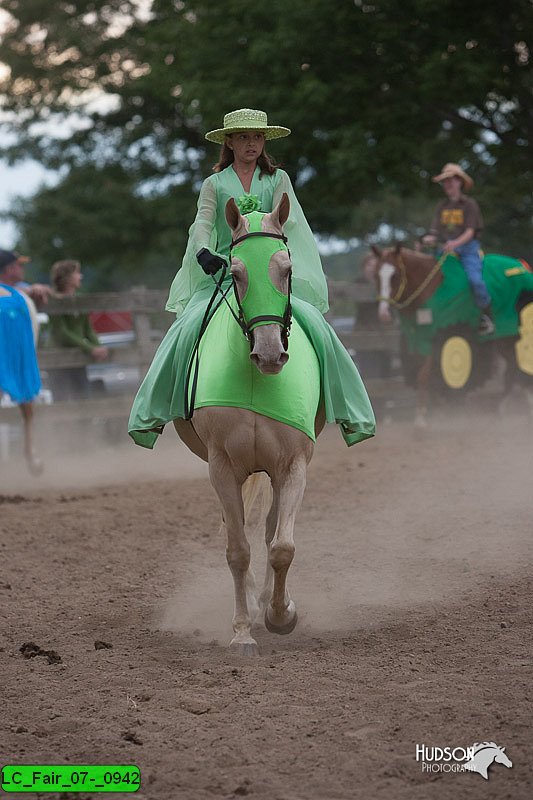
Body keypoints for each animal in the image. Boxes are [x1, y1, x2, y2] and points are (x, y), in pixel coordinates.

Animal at [176, 195, 324, 656]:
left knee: (272, 530)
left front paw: (281, 615)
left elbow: (282, 546)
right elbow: (237, 551)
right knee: (237, 530)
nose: (270, 354)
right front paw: (242, 631)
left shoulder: (294, 466)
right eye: (236, 273)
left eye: (288, 270)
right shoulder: (221, 468)